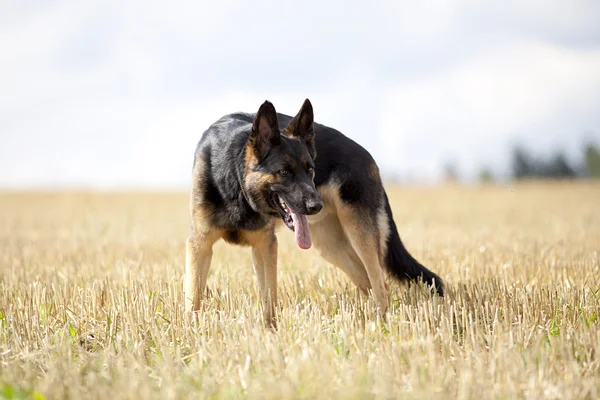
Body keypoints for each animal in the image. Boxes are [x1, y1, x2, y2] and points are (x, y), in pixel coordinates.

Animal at [185, 98, 442, 326]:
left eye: (310, 170)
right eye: (284, 172)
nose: (315, 205)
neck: (234, 180)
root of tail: (367, 155)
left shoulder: (265, 246)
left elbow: (269, 302)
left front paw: (271, 335)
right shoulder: (201, 244)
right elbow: (193, 300)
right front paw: (192, 334)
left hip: (359, 235)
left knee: (381, 285)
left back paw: (382, 326)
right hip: (330, 246)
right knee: (368, 283)